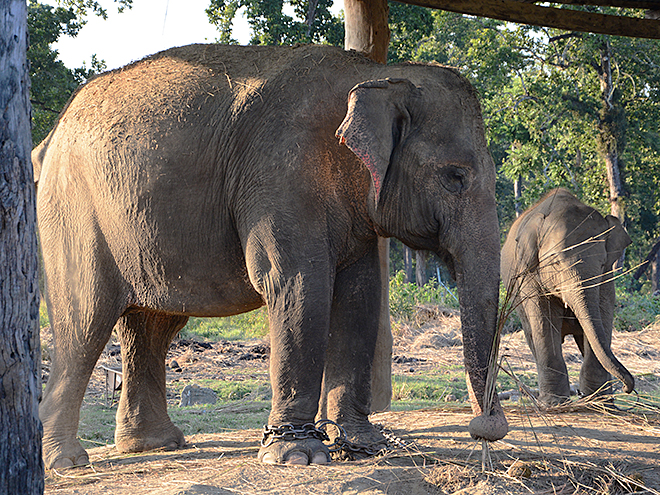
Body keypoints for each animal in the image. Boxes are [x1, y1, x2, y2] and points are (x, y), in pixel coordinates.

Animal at [33, 42, 508, 468]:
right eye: (455, 177)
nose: (486, 429)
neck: (377, 73)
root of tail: (52, 134)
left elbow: (359, 297)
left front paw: (365, 445)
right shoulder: (280, 175)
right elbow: (299, 286)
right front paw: (298, 455)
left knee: (152, 327)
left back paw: (154, 445)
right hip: (73, 214)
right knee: (85, 321)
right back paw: (67, 462)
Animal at [500, 190, 636, 406]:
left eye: (601, 263)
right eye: (556, 263)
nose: (627, 387)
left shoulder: (606, 278)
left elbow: (603, 316)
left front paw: (598, 403)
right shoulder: (529, 273)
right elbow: (544, 321)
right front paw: (555, 404)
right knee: (532, 335)